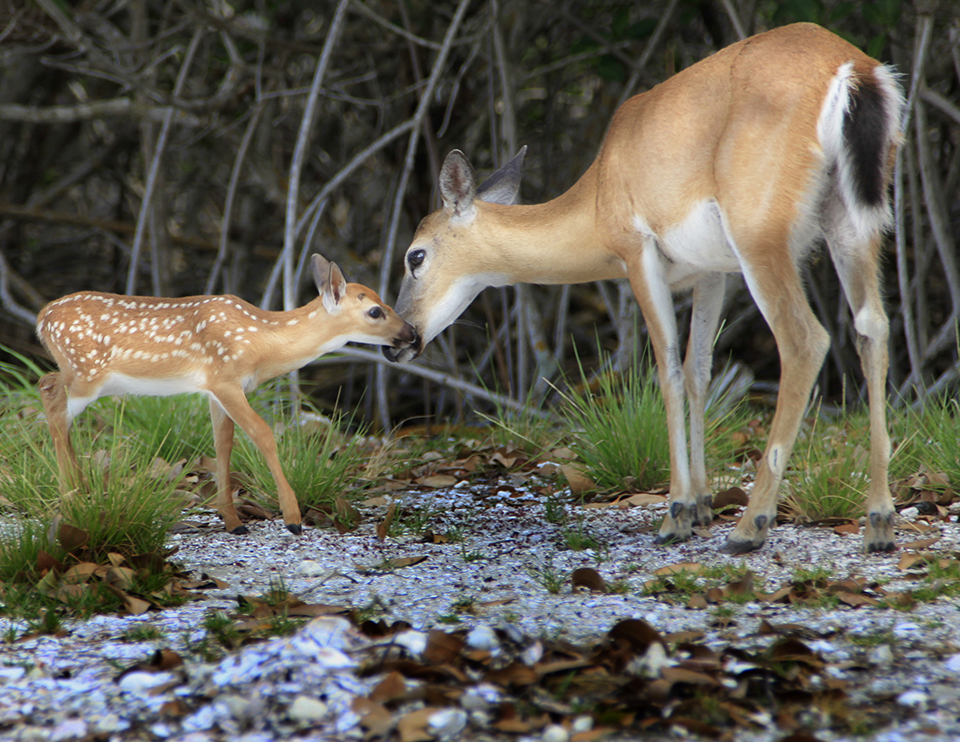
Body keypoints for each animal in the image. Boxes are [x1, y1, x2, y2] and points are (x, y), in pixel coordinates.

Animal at [36, 254, 416, 536]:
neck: (263, 341)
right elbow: (263, 434)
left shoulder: (215, 389)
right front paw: (292, 518)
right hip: (86, 374)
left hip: (80, 375)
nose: (412, 332)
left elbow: (223, 443)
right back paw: (71, 500)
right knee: (53, 402)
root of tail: (42, 317)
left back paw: (82, 492)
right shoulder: (225, 379)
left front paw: (233, 522)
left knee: (49, 392)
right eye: (375, 311)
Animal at [383, 23, 904, 554]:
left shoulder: (638, 252)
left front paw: (676, 513)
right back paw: (879, 521)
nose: (399, 340)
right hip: (853, 217)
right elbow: (698, 370)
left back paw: (751, 525)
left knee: (805, 339)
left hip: (760, 226)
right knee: (873, 326)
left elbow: (667, 368)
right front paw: (701, 505)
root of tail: (854, 72)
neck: (596, 204)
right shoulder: (712, 270)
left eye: (415, 255)